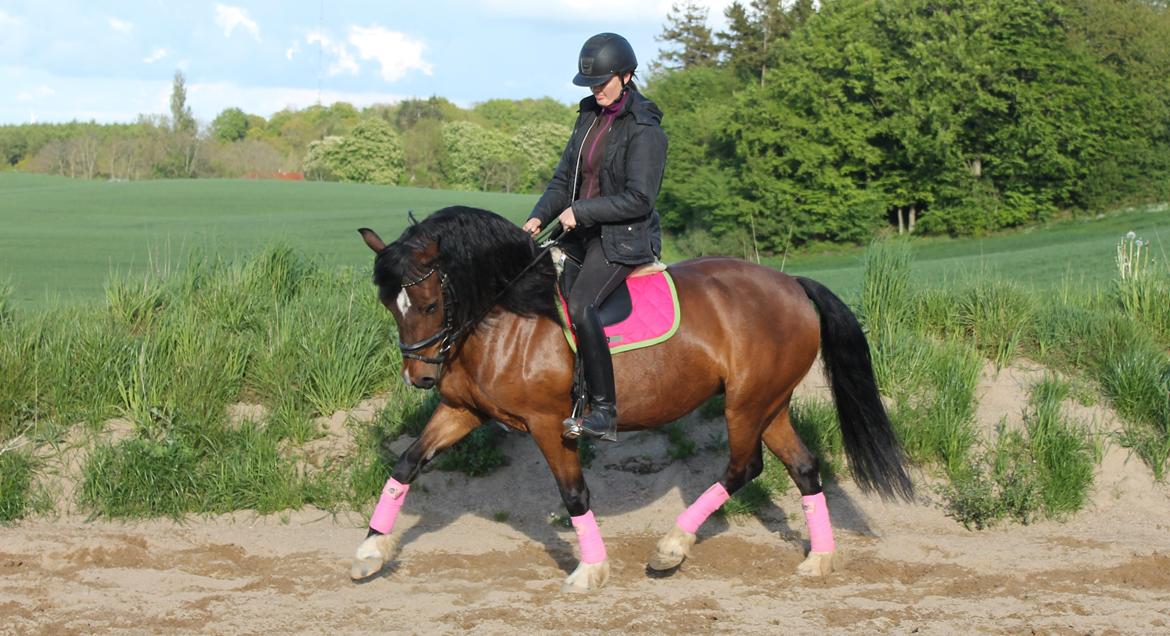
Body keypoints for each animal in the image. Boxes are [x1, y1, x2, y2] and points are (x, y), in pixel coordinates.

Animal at [352, 205, 913, 592]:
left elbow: (574, 494)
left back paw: (671, 548)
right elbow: (406, 464)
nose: (421, 378)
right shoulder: (462, 411)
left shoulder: (548, 423)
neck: (509, 314)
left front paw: (590, 570)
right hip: (769, 404)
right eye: (390, 305)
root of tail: (791, 284)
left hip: (746, 405)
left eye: (428, 304)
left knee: (743, 467)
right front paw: (370, 552)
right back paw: (818, 559)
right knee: (803, 467)